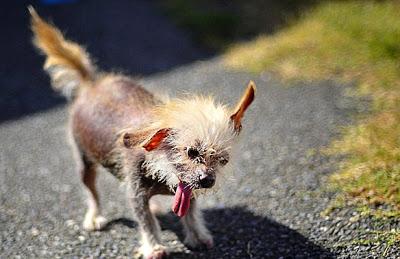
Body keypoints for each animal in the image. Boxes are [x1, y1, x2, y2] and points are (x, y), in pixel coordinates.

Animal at [30, 7, 256, 258]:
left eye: (223, 160)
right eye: (191, 152)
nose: (208, 180)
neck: (158, 164)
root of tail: (92, 83)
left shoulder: (187, 191)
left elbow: (190, 214)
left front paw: (197, 235)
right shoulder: (136, 195)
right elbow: (146, 222)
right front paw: (154, 246)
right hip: (84, 161)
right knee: (92, 192)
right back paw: (95, 216)